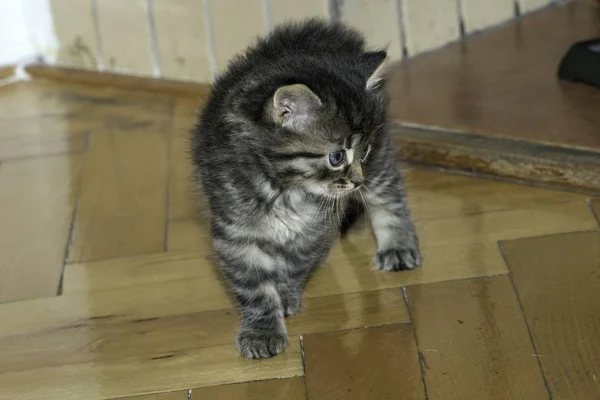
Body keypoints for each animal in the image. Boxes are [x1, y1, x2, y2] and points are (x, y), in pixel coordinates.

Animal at [192, 19, 422, 360]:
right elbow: (254, 288)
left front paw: (285, 295)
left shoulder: (314, 228)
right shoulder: (234, 234)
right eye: (337, 157)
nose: (356, 180)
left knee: (389, 195)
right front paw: (262, 329)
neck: (284, 188)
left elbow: (295, 263)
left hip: (381, 165)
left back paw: (397, 246)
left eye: (364, 150)